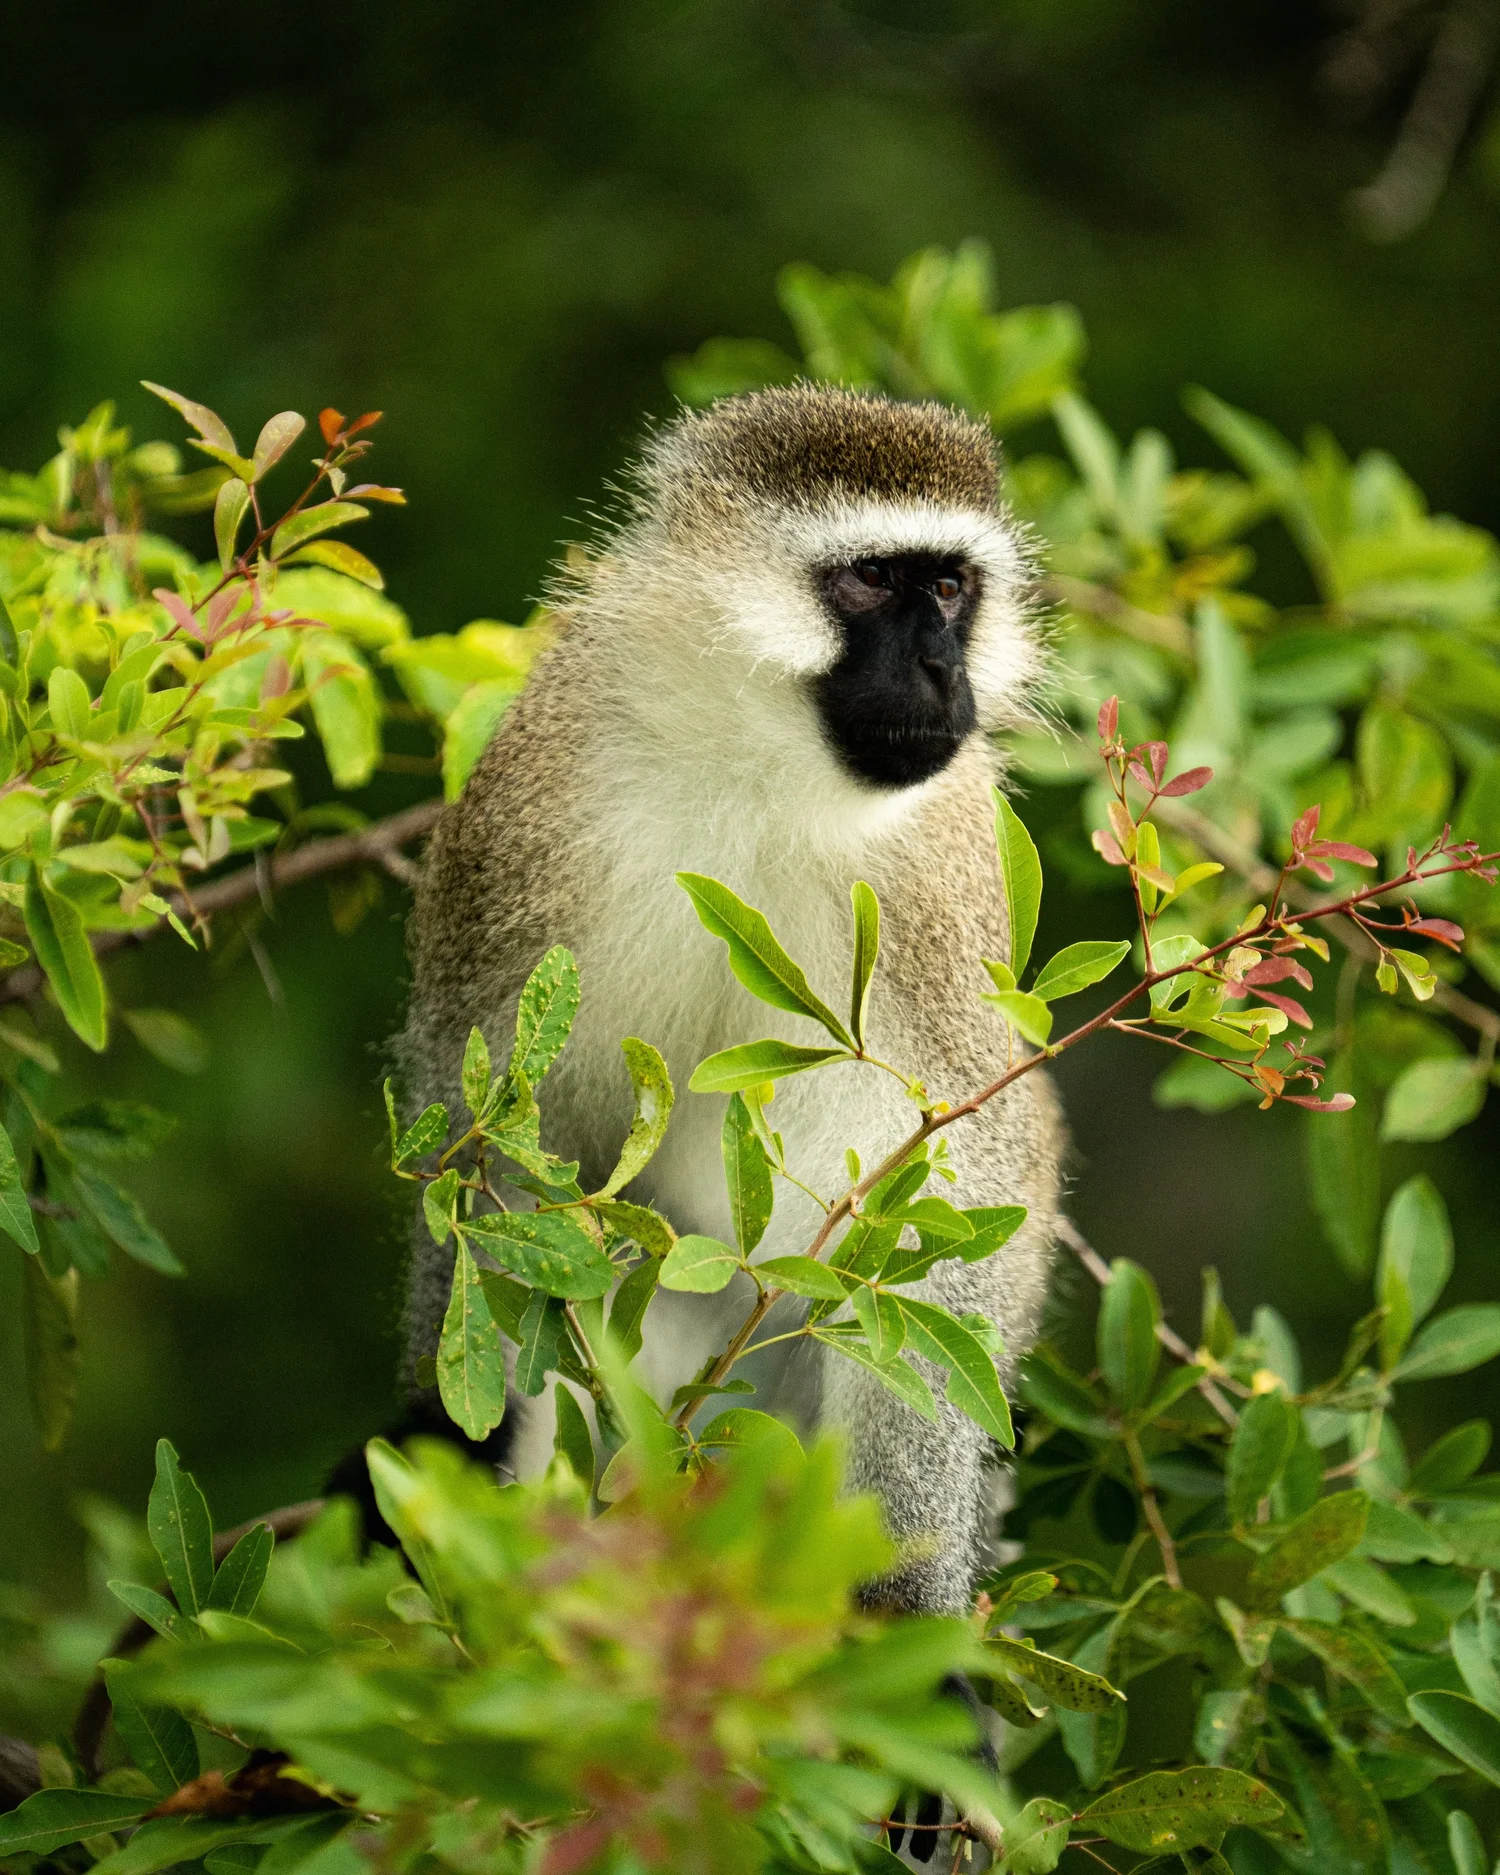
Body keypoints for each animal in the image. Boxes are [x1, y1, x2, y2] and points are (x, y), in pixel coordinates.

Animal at [394, 382, 1062, 1624]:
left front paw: (901, 1606)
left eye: (951, 587)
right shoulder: (532, 806)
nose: (944, 672)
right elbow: (483, 1132)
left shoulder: (947, 878)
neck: (761, 769)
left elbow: (958, 1201)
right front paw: (439, 1458)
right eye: (872, 580)